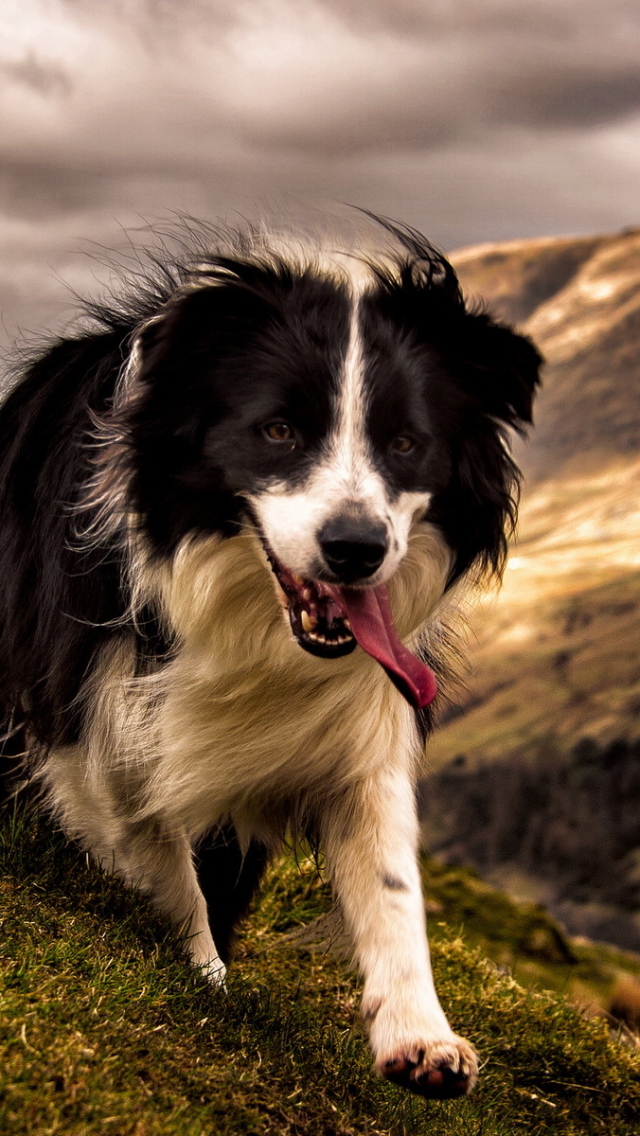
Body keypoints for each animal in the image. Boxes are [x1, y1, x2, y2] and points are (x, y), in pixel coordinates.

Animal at [0, 214, 541, 1099]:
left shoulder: (361, 715)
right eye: (279, 430)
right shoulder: (87, 709)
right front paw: (202, 972)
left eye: (405, 443)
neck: (248, 620)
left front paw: (421, 1036)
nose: (356, 550)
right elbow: (154, 841)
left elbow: (390, 874)